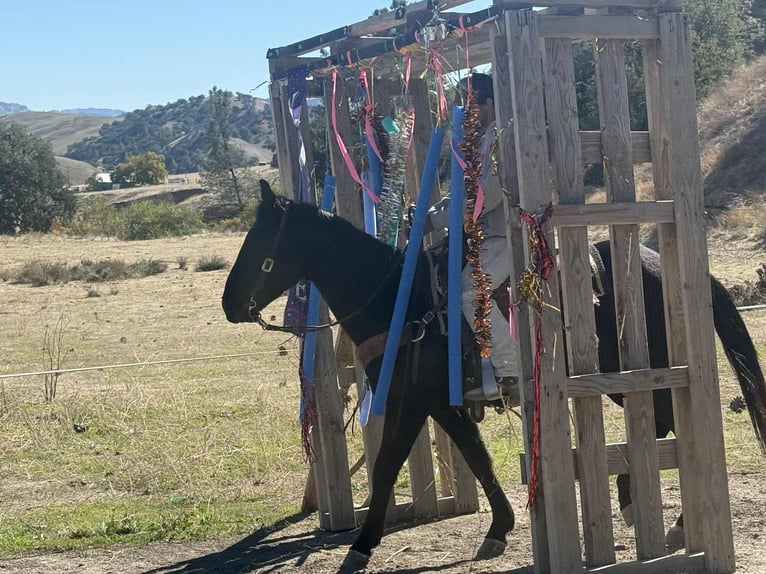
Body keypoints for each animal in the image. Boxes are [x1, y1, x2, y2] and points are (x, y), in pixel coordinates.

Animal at [222, 179, 766, 565]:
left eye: (260, 245)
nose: (229, 305)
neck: (400, 301)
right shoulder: (443, 404)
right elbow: (477, 456)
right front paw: (499, 528)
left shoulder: (408, 401)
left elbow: (387, 465)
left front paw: (363, 543)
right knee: (663, 422)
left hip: (639, 369)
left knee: (667, 422)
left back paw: (659, 514)